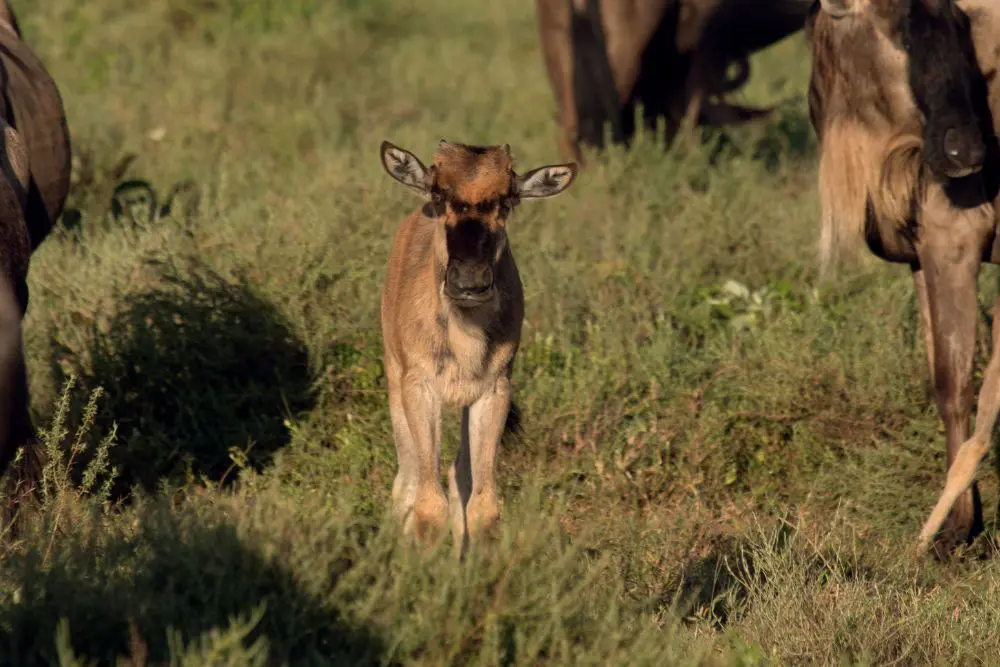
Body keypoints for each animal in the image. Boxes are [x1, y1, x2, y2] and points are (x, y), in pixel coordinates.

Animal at [378, 139, 576, 558]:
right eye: (438, 193)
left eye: (507, 200)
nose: (469, 283)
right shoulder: (419, 389)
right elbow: (427, 503)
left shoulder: (492, 392)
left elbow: (483, 505)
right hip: (394, 378)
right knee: (408, 478)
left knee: (459, 477)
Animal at [806, 0, 1000, 556]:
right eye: (900, 31)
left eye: (960, 21)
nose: (966, 153)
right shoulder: (920, 256)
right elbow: (941, 378)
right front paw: (964, 522)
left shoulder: (953, 242)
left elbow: (957, 384)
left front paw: (953, 530)